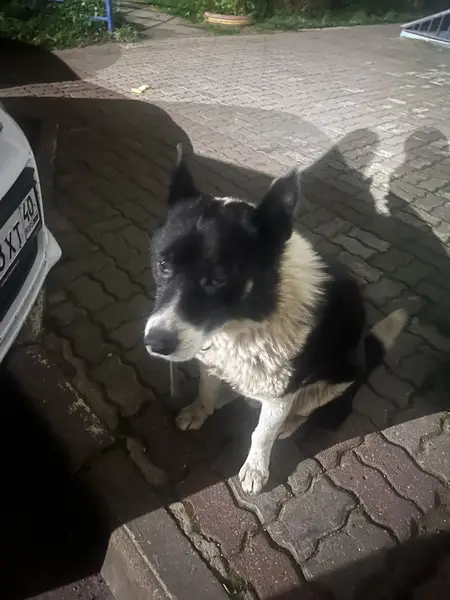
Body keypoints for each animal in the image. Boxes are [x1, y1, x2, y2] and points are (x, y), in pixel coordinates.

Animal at [144, 144, 407, 495]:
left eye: (219, 278)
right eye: (163, 264)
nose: (156, 343)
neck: (251, 317)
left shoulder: (282, 394)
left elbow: (262, 433)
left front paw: (256, 468)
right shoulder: (212, 358)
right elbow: (206, 389)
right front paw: (202, 409)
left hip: (332, 385)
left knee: (304, 412)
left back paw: (287, 423)